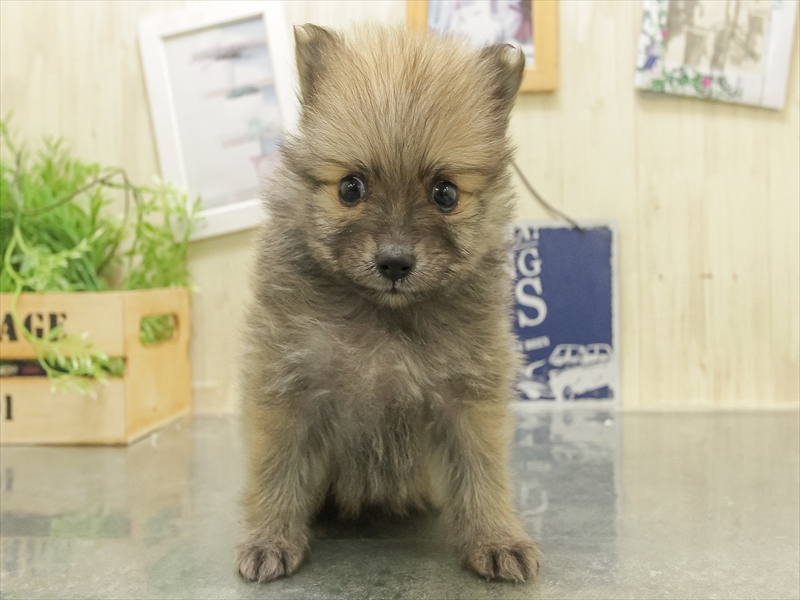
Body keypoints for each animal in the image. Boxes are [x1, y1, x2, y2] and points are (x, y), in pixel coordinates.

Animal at [235, 23, 540, 583]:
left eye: (445, 194)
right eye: (351, 188)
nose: (395, 263)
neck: (383, 318)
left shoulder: (467, 399)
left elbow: (482, 472)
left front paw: (496, 538)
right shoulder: (290, 387)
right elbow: (277, 469)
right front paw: (269, 537)